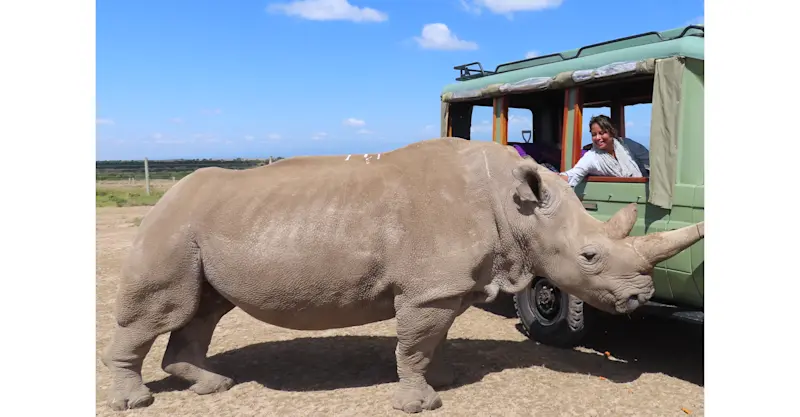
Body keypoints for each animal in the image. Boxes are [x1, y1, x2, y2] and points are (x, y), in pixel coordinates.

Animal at [101, 138, 704, 413]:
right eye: (590, 257)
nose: (641, 296)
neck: (518, 211)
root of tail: (165, 197)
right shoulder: (428, 290)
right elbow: (414, 343)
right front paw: (420, 403)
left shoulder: (446, 287)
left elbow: (431, 342)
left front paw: (441, 382)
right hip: (173, 227)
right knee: (165, 309)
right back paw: (137, 401)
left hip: (199, 231)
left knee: (203, 310)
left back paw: (212, 385)